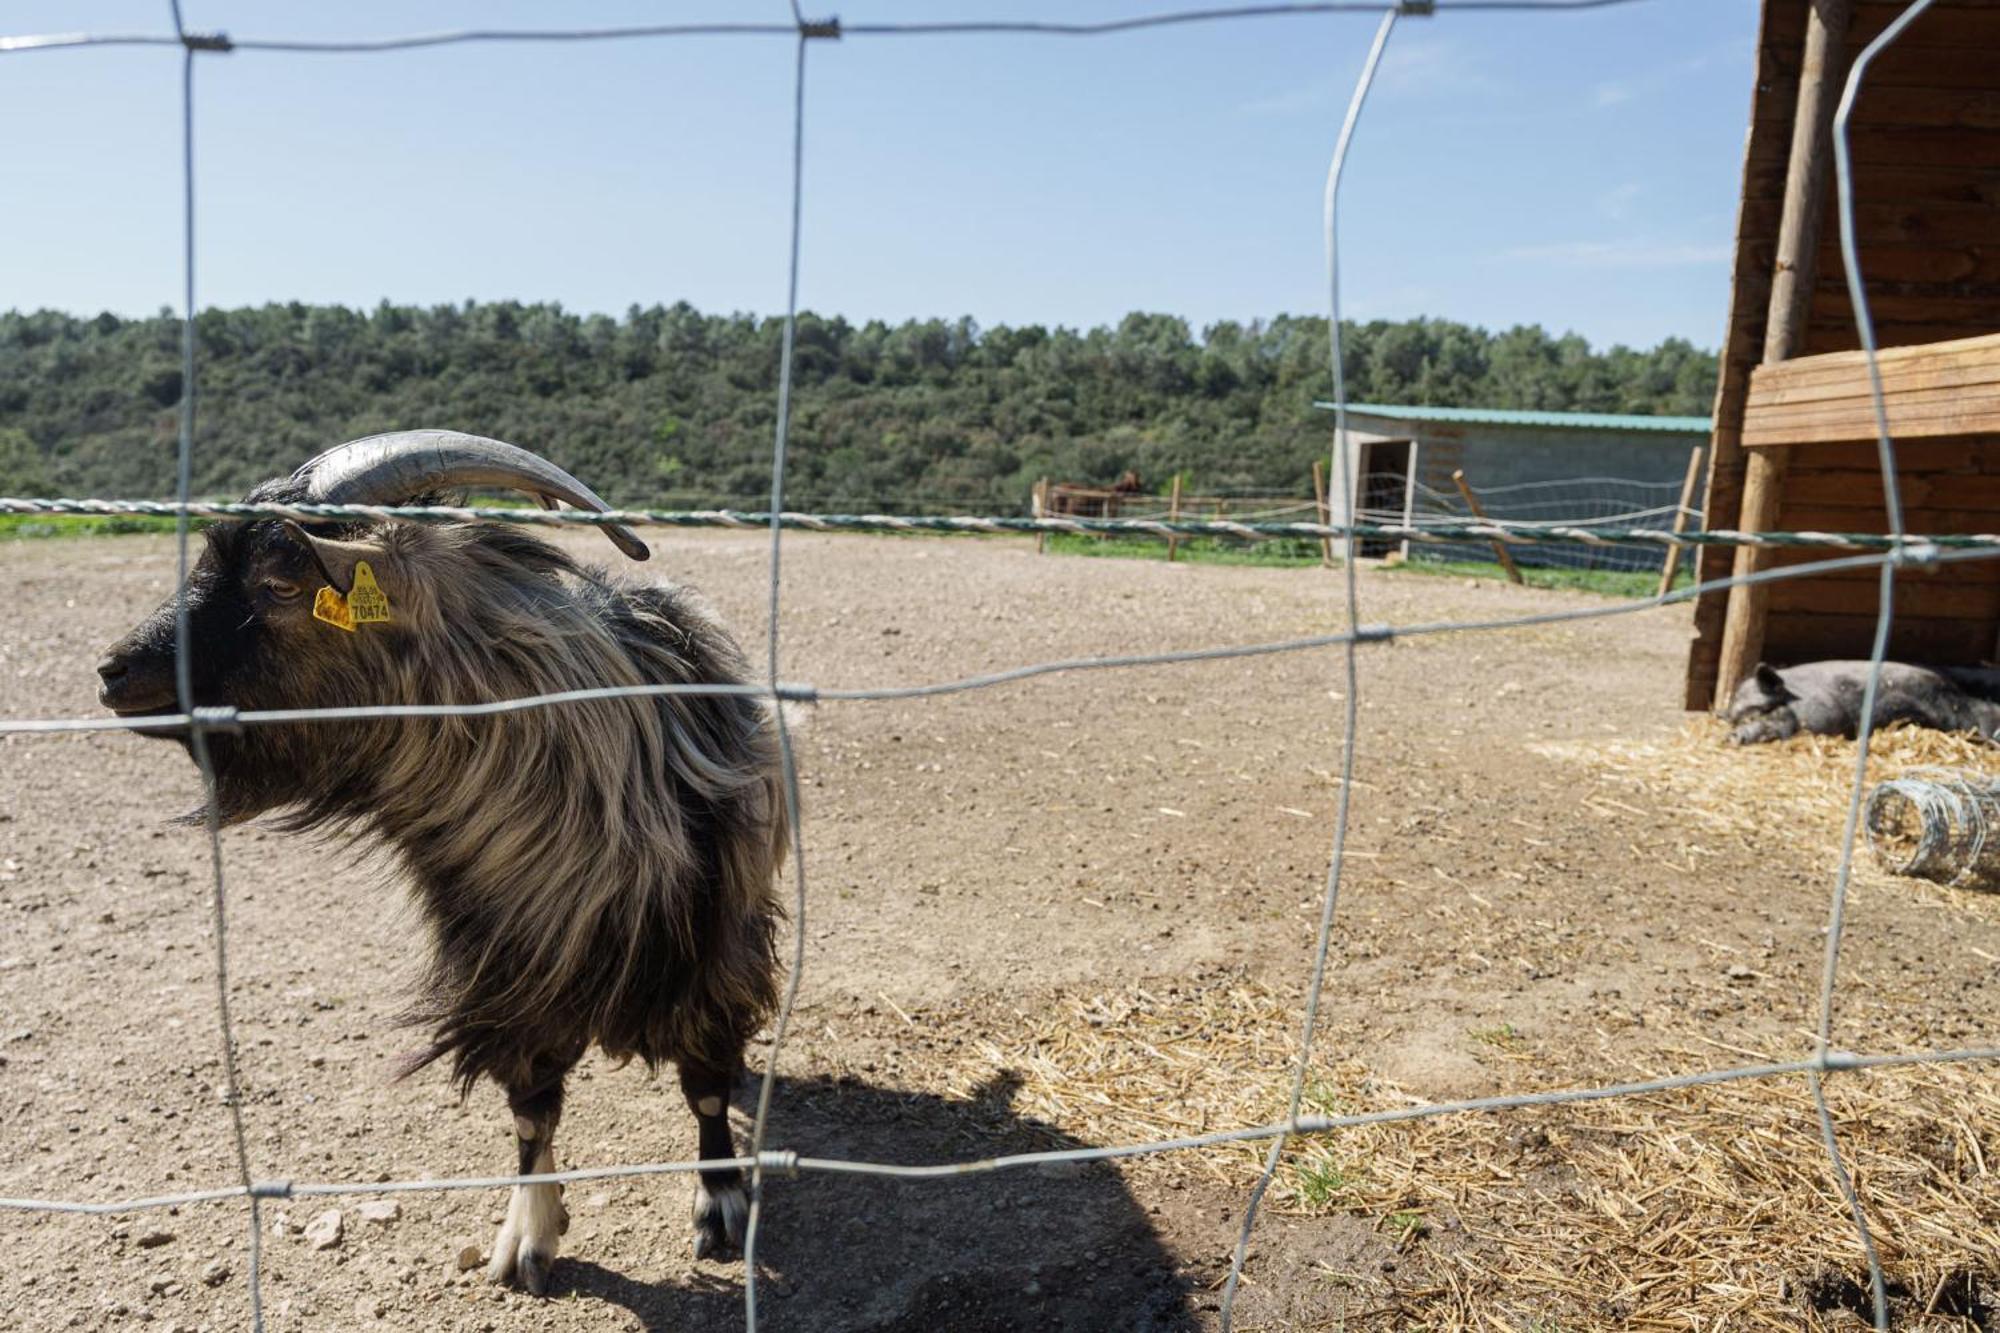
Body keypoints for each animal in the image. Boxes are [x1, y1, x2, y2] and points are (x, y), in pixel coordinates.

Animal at [95, 434, 780, 1288]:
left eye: (279, 582)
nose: (114, 669)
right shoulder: (508, 979)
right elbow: (531, 1111)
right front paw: (527, 1237)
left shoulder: (713, 961)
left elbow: (707, 1090)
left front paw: (720, 1205)